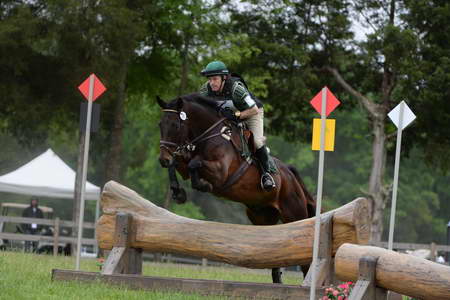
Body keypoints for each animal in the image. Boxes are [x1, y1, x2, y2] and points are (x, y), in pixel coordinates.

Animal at [156, 94, 314, 284]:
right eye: (160, 124)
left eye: (175, 125)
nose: (162, 159)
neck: (209, 135)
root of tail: (290, 173)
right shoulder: (184, 165)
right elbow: (178, 164)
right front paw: (177, 192)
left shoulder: (220, 171)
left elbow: (195, 163)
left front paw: (203, 185)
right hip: (261, 216)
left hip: (294, 212)